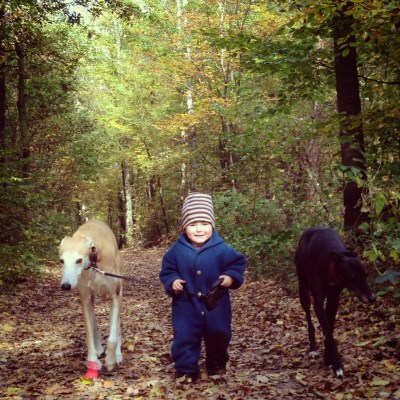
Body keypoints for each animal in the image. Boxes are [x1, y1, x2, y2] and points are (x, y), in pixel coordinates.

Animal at [59, 219, 124, 379]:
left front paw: (111, 360)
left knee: (117, 327)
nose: (66, 286)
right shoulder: (85, 299)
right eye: (61, 261)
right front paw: (93, 362)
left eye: (78, 260)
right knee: (94, 324)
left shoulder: (115, 296)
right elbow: (89, 335)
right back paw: (99, 347)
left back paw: (117, 354)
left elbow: (113, 336)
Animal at [295, 227, 375, 377]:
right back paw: (313, 348)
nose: (373, 298)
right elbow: (328, 333)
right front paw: (338, 365)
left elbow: (329, 330)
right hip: (303, 290)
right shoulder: (318, 303)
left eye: (366, 275)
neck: (331, 262)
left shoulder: (333, 300)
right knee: (308, 317)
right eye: (353, 277)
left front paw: (328, 359)